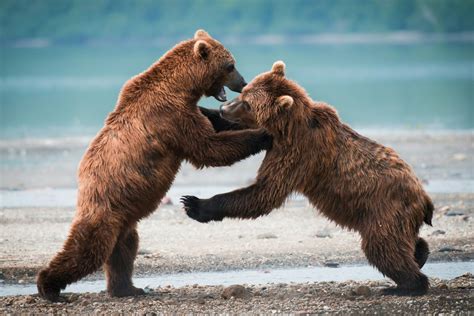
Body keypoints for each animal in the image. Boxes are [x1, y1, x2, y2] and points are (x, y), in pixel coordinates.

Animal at [36, 29, 270, 302]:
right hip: (104, 208)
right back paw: (49, 287)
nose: (242, 82)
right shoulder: (171, 116)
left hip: (124, 219)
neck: (182, 87)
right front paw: (262, 134)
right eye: (231, 65)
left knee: (125, 249)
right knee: (88, 250)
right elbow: (208, 148)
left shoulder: (182, 110)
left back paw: (128, 288)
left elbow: (213, 129)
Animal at [183, 60, 436, 296]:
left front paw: (195, 204)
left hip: (384, 208)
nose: (224, 107)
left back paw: (404, 285)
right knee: (402, 241)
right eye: (244, 93)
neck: (287, 127)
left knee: (382, 246)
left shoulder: (298, 153)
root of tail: (424, 198)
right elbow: (233, 130)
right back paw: (419, 254)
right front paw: (203, 111)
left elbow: (265, 192)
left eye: (247, 103)